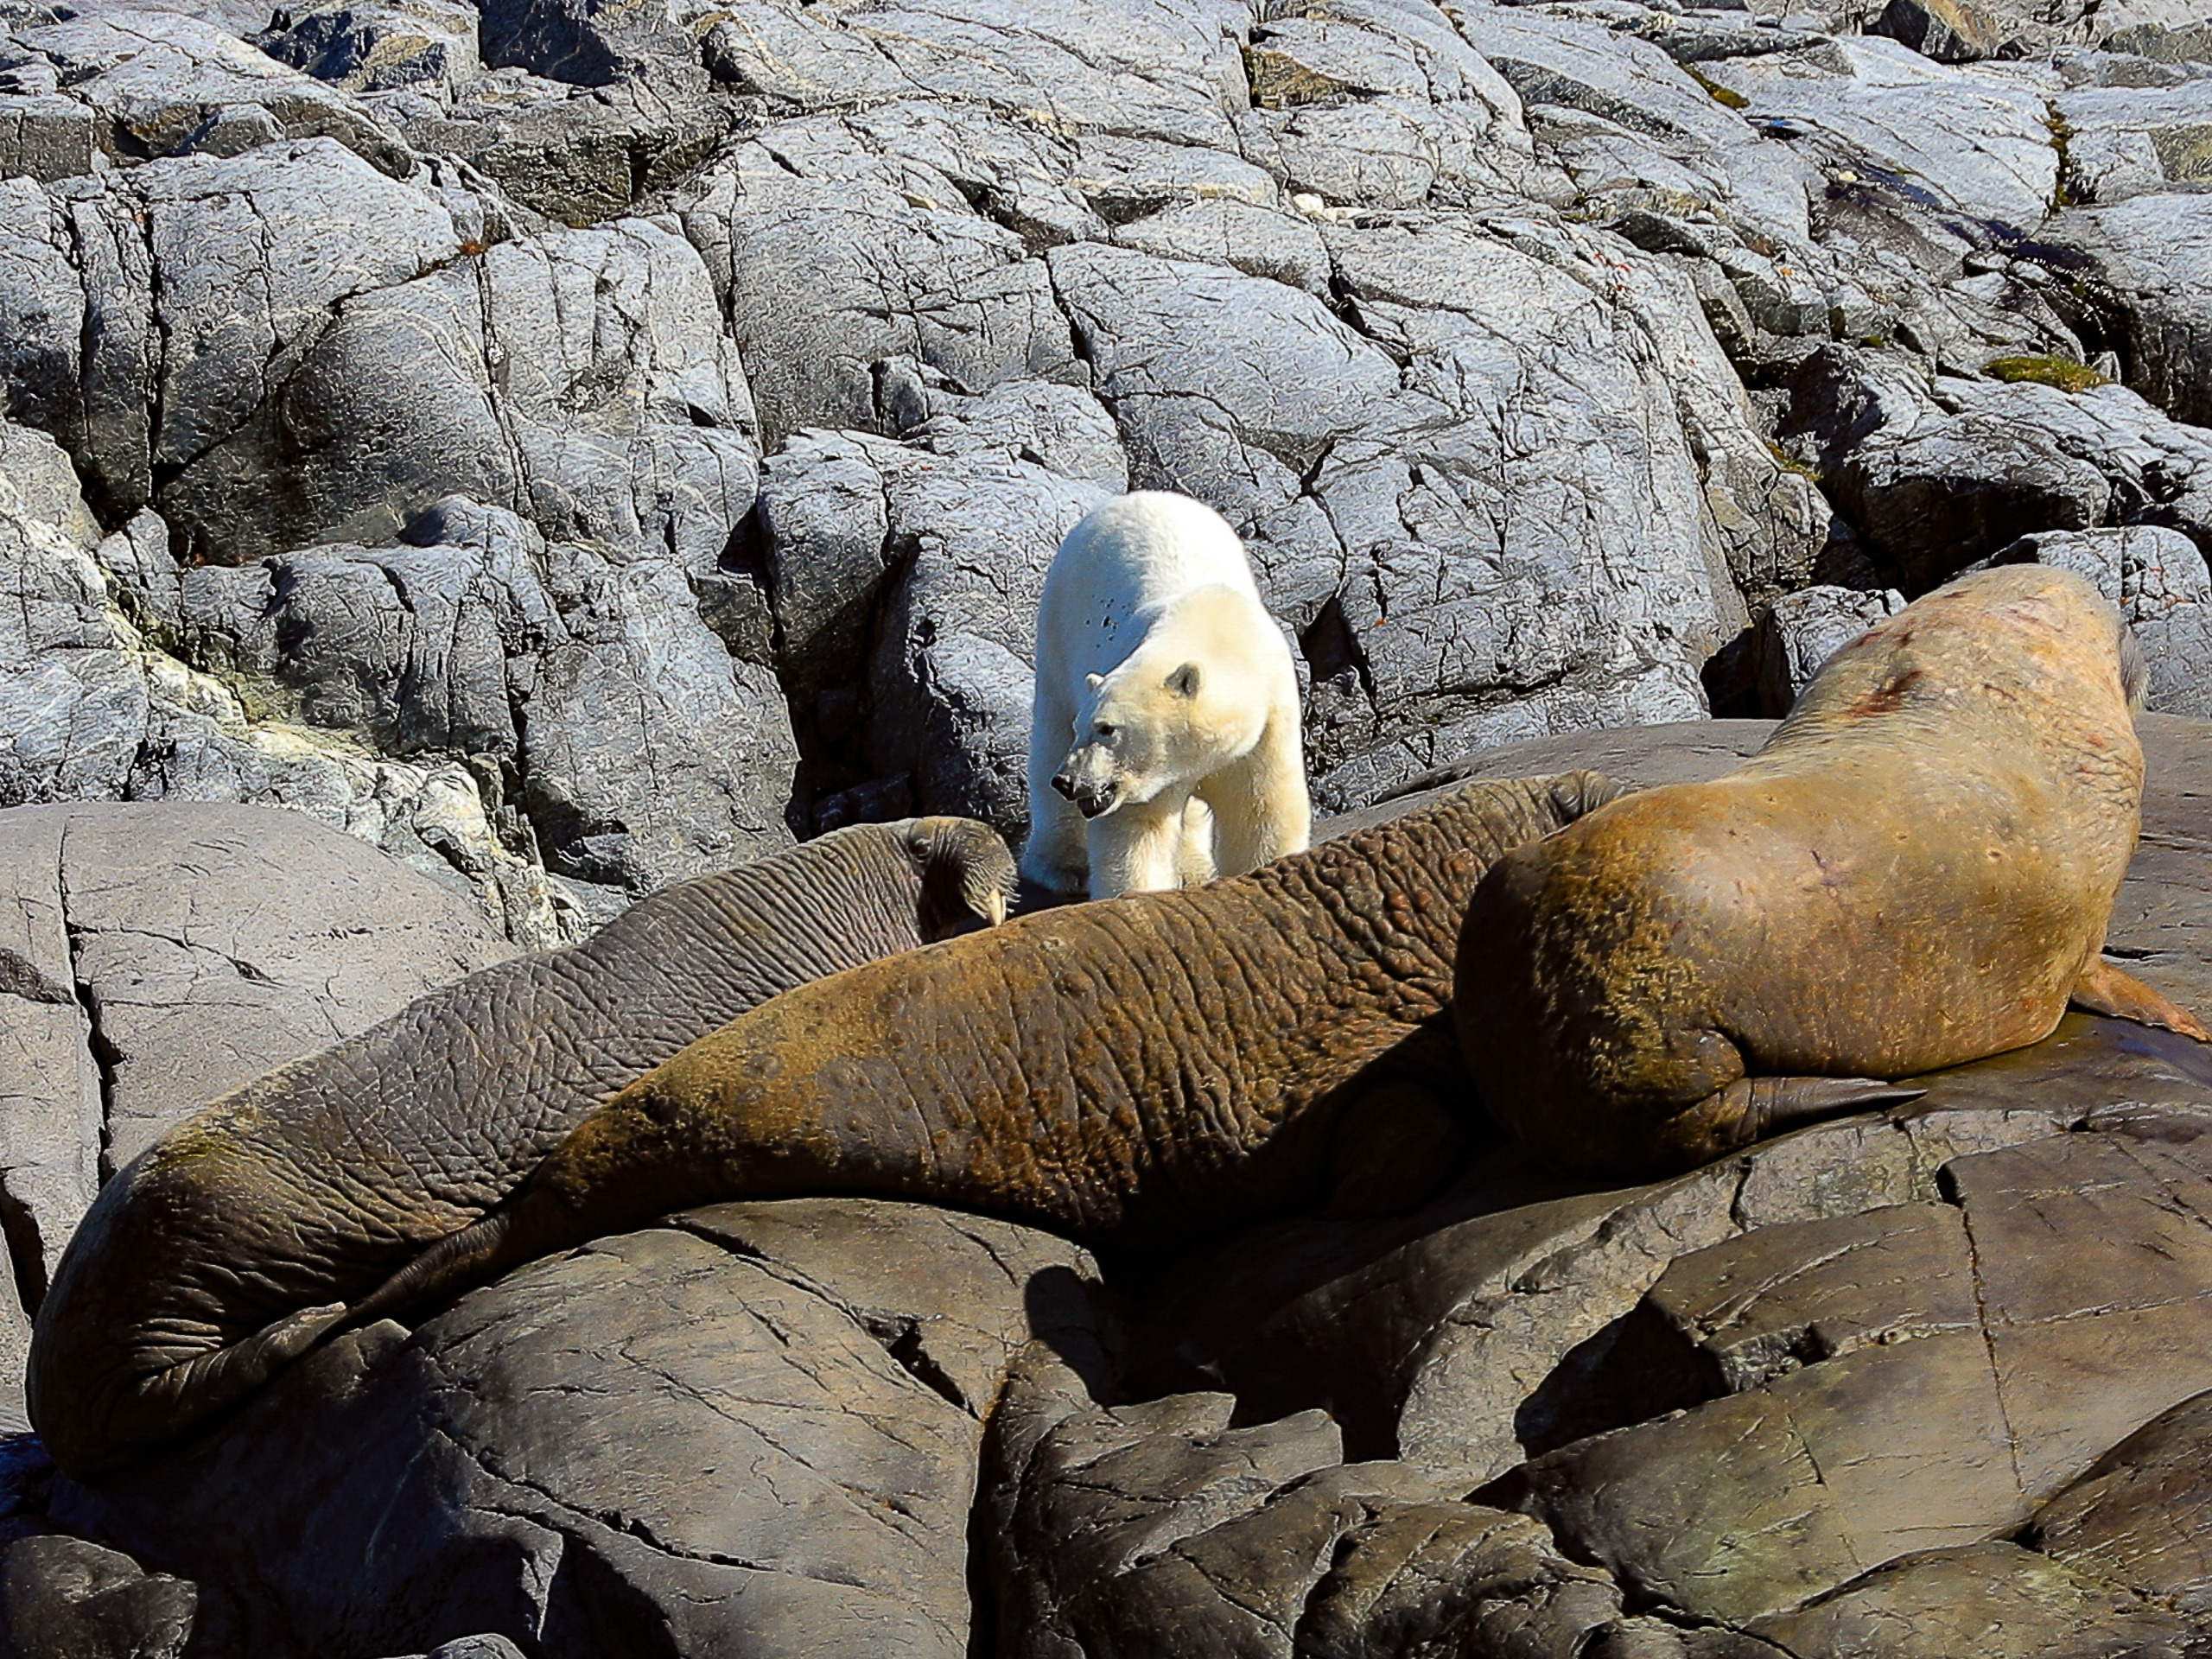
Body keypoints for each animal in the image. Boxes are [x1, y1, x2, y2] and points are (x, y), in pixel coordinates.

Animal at [1021, 491, 1311, 899]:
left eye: (1108, 729)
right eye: (1088, 727)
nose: (1069, 782)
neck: (1217, 629)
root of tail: (1133, 497)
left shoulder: (1266, 727)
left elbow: (1260, 812)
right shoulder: (1145, 778)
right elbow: (1136, 833)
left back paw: (1193, 868)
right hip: (1059, 630)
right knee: (1051, 734)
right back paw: (1059, 867)